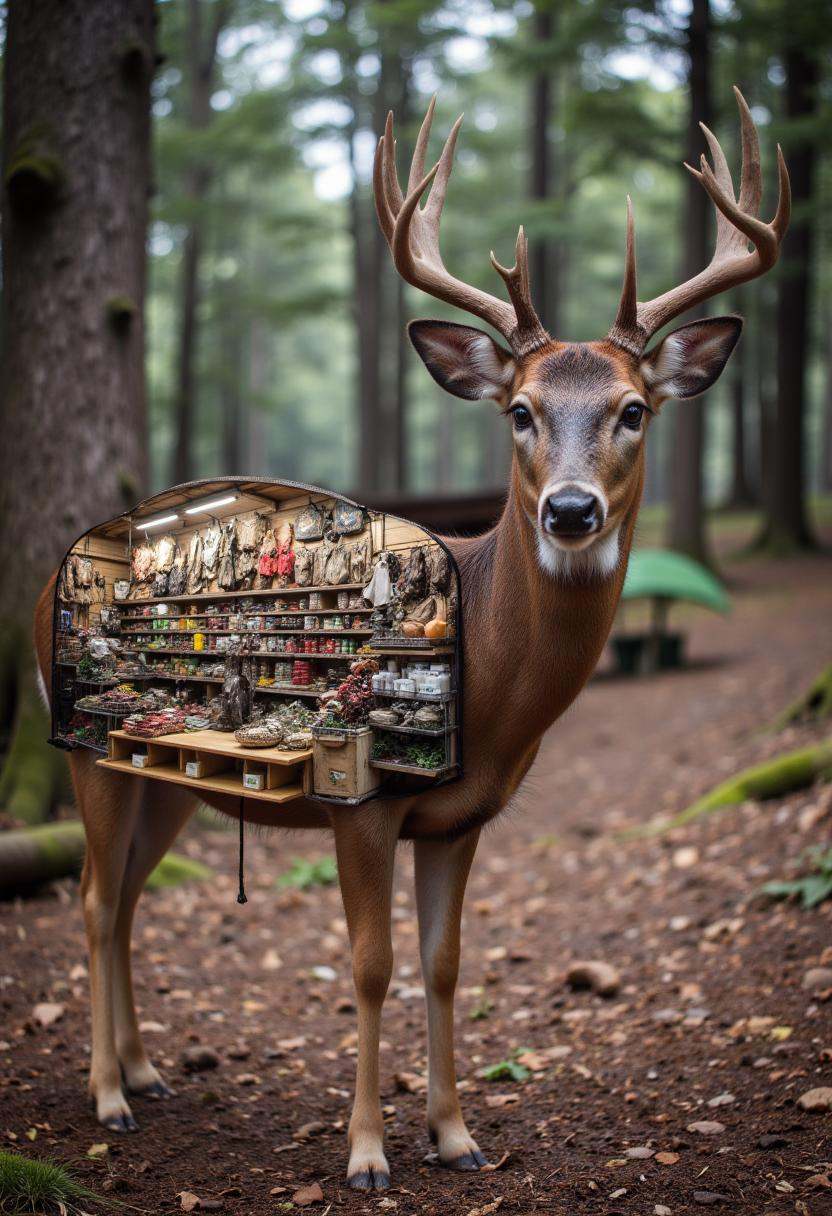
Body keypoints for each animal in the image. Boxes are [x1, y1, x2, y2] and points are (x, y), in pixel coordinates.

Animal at [33, 87, 788, 1192]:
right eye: (519, 410)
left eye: (633, 409)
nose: (569, 509)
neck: (501, 698)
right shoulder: (366, 809)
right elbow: (371, 965)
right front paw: (365, 1153)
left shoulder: (461, 819)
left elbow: (443, 964)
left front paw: (457, 1134)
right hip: (90, 755)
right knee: (90, 901)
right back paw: (108, 1097)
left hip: (162, 778)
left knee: (126, 895)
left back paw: (147, 1072)